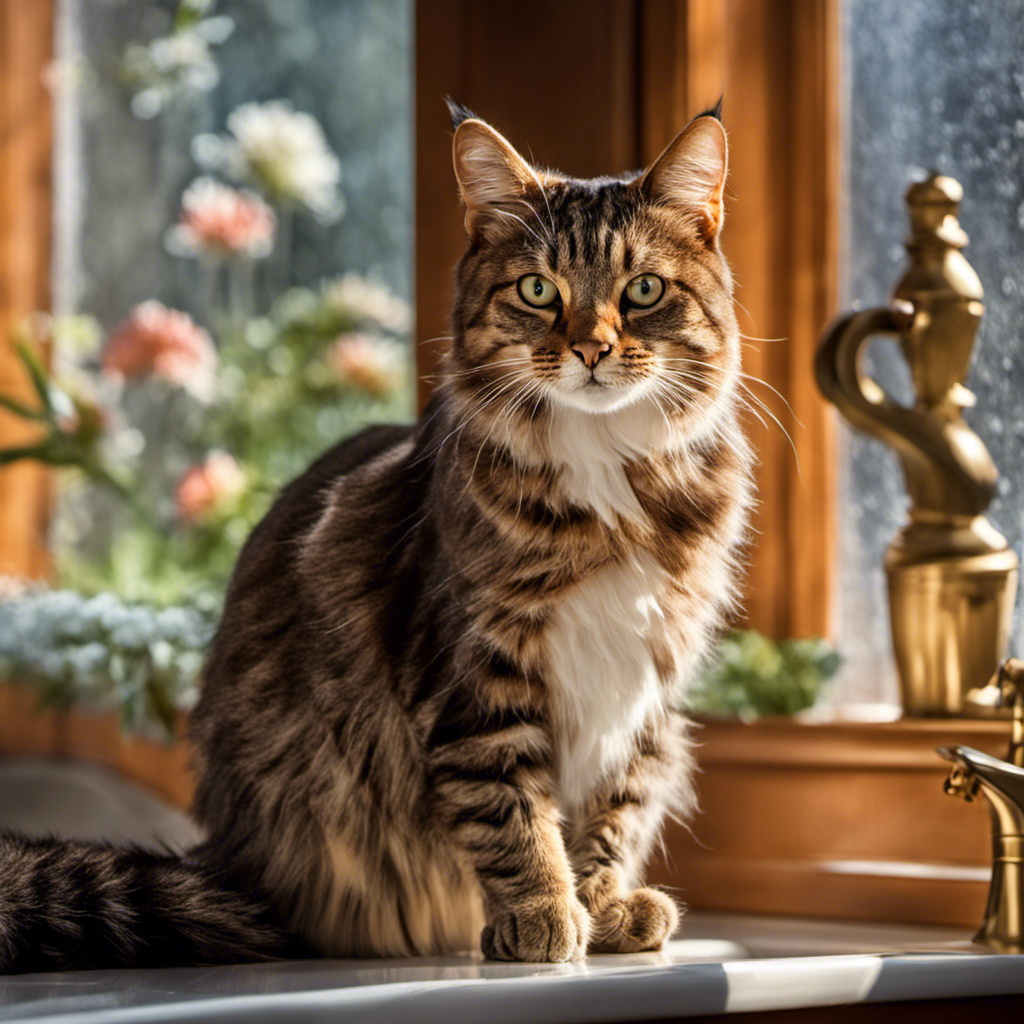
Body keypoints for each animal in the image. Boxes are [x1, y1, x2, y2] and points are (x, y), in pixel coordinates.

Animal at [0, 99, 753, 970]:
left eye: (643, 290)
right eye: (538, 290)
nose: (592, 348)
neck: (605, 471)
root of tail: (231, 860)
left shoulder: (648, 691)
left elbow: (614, 810)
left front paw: (599, 906)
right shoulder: (471, 677)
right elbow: (511, 809)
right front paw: (542, 911)